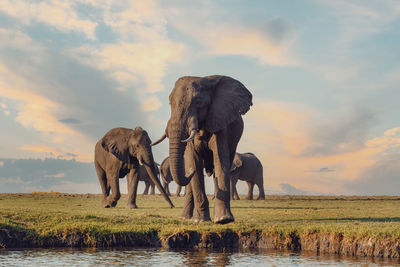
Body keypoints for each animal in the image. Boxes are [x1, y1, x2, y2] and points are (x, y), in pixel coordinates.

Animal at [152, 75, 252, 224]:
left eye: (198, 103)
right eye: (170, 104)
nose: (189, 171)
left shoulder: (220, 121)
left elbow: (221, 162)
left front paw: (223, 220)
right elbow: (195, 163)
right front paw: (200, 220)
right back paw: (185, 217)